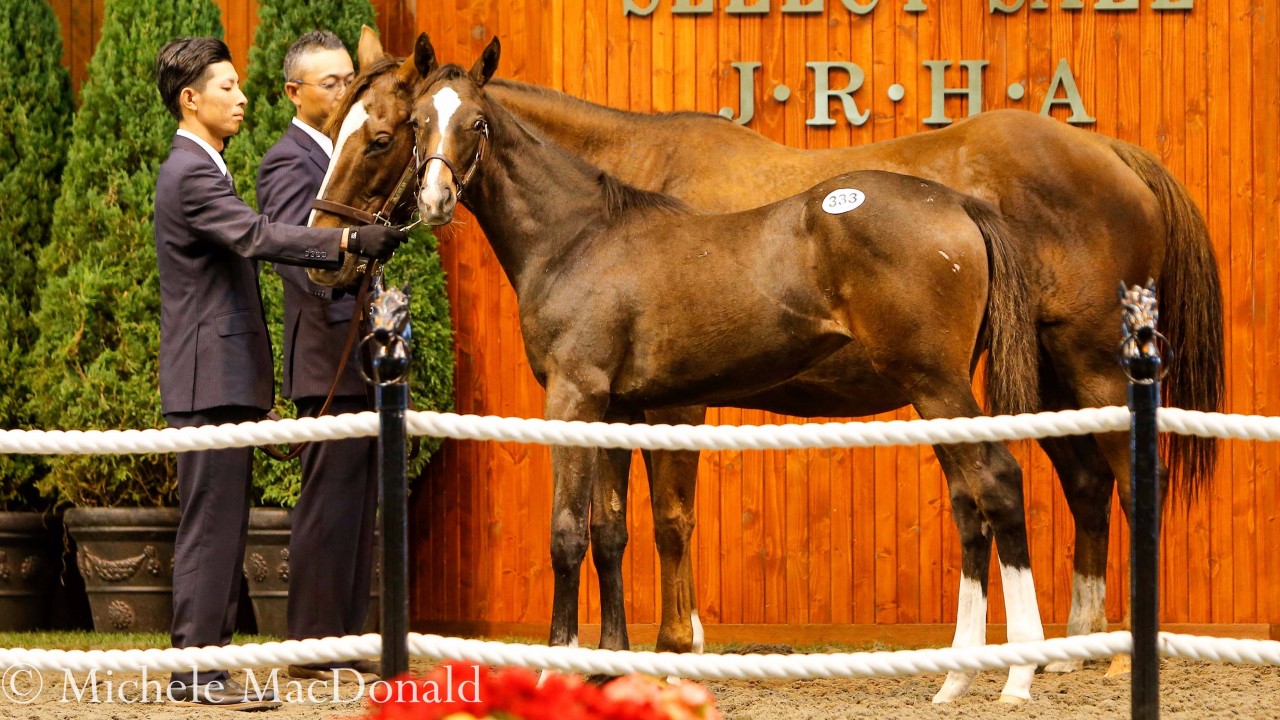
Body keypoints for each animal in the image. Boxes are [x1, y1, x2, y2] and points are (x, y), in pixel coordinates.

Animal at [409, 38, 1054, 702]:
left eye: (477, 122)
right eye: (416, 119)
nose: (433, 201)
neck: (580, 238)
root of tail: (958, 203)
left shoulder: (575, 400)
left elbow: (568, 534)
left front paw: (551, 669)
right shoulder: (617, 409)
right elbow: (610, 533)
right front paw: (609, 668)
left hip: (936, 384)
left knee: (998, 483)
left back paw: (1020, 671)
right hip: (935, 393)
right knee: (969, 502)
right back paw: (956, 677)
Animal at [484, 53, 1224, 678]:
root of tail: (1111, 152)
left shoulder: (674, 402)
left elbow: (669, 519)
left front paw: (674, 645)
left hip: (1090, 365)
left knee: (1133, 479)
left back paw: (1118, 653)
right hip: (1043, 375)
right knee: (1088, 485)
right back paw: (1072, 645)